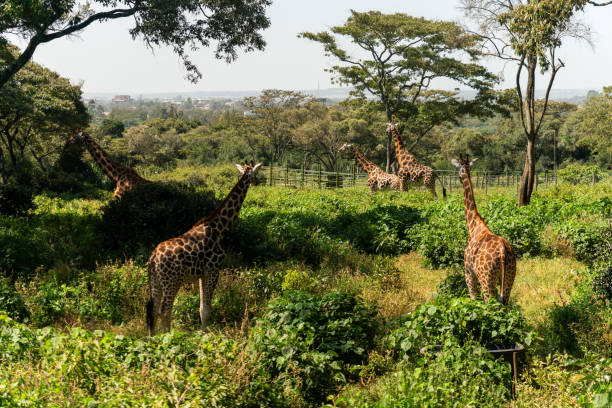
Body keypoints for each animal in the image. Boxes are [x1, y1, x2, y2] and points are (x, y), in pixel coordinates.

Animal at [148, 160, 262, 334]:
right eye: (256, 173)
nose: (259, 181)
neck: (220, 227)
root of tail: (153, 259)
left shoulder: (202, 274)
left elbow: (201, 308)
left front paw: (202, 333)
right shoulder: (213, 270)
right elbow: (207, 309)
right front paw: (205, 334)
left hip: (156, 281)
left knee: (153, 311)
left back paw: (152, 338)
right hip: (171, 281)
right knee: (165, 311)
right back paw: (168, 337)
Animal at [450, 155, 516, 304]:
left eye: (458, 171)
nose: (459, 178)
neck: (473, 225)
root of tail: (503, 252)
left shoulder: (468, 273)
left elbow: (473, 299)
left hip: (486, 278)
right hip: (509, 276)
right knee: (504, 302)